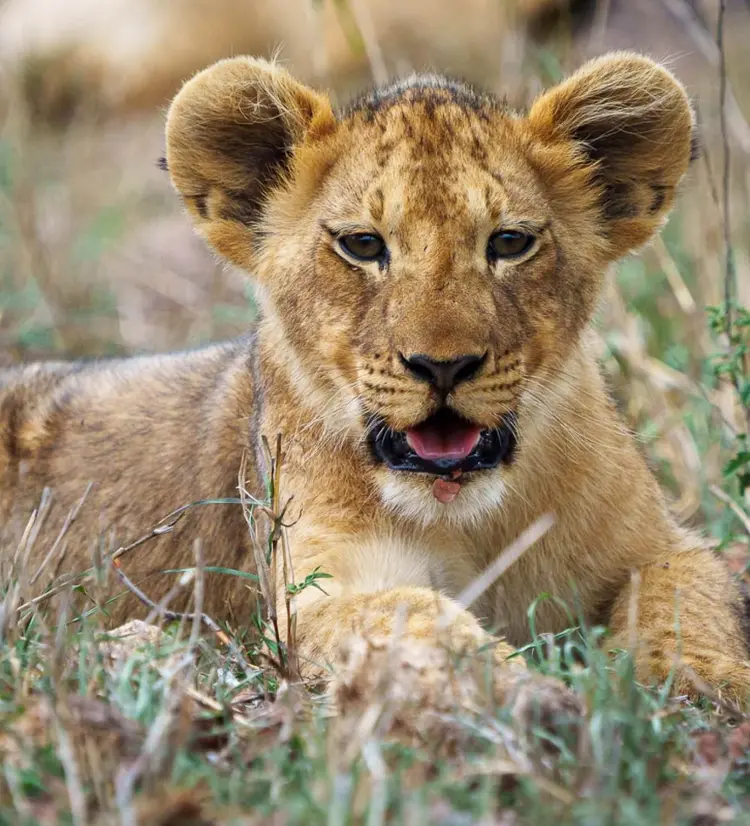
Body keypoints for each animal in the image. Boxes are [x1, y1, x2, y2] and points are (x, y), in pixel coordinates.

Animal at [2, 52, 750, 706]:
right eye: (363, 245)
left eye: (509, 242)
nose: (443, 365)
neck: (473, 521)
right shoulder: (317, 595)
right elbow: (413, 616)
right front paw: (520, 687)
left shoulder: (661, 545)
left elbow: (685, 603)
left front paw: (707, 685)